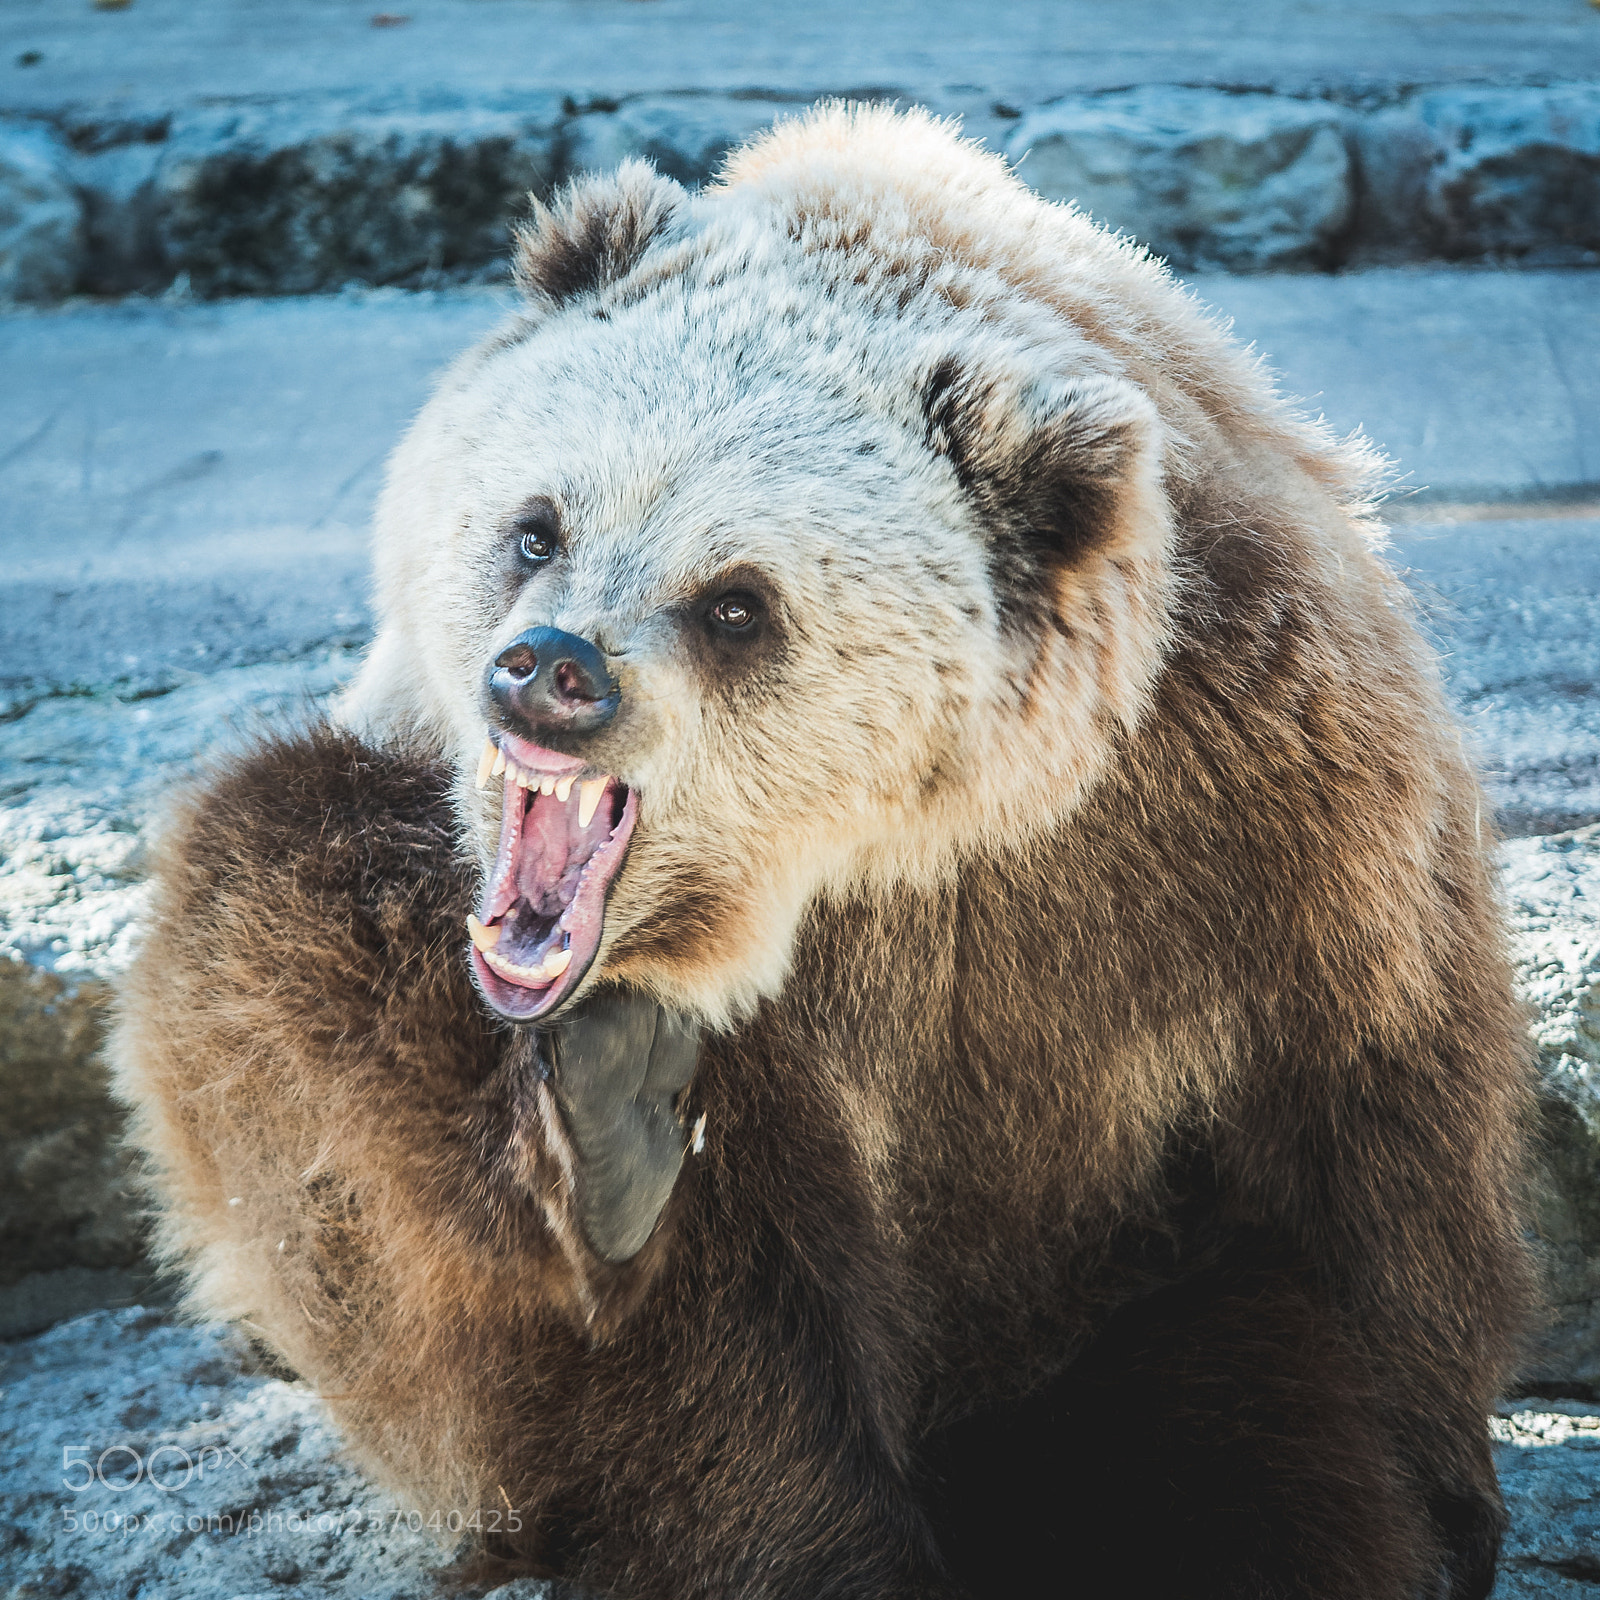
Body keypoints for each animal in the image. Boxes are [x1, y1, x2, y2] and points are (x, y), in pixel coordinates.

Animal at [113, 103, 1534, 1600]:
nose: (548, 672)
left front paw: (1437, 1504)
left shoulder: (1244, 814)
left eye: (735, 601)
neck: (878, 858)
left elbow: (1356, 1180)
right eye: (537, 524)